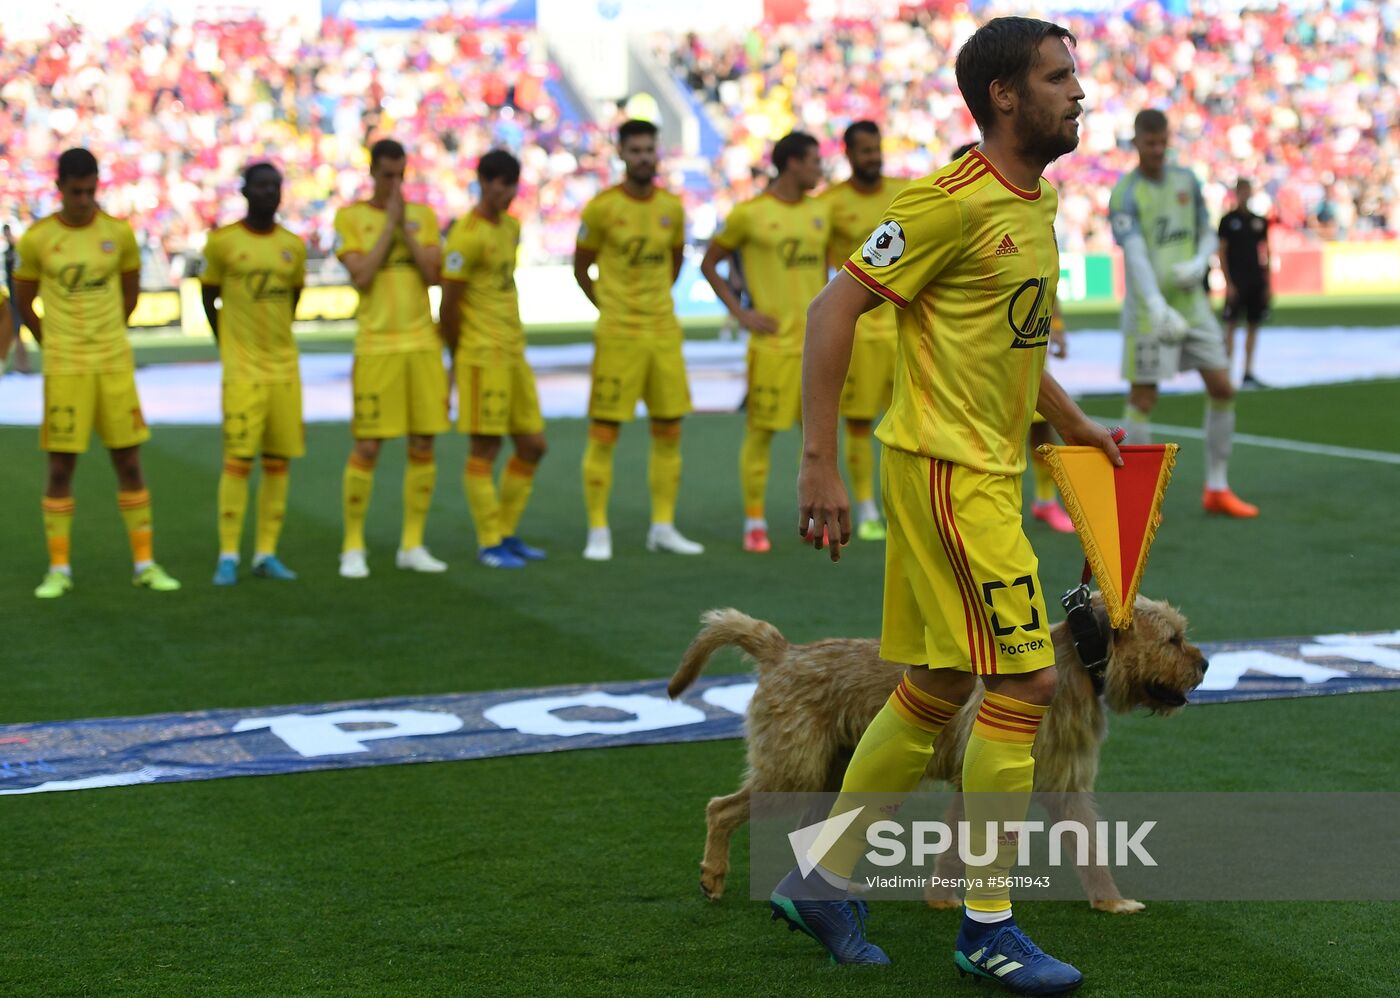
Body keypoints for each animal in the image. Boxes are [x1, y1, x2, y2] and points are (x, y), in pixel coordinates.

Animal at [666, 596, 1204, 912]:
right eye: (1173, 639)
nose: (1204, 664)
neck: (1076, 666)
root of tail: (783, 652)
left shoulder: (1065, 787)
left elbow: (1090, 850)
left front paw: (1110, 903)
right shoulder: (983, 781)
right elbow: (960, 846)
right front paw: (947, 900)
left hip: (834, 778)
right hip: (793, 774)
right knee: (721, 809)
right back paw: (714, 875)